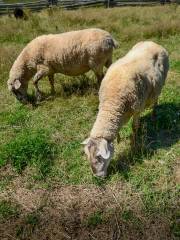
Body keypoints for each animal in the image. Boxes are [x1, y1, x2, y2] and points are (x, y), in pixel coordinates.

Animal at [82, 40, 169, 176]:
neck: (112, 101)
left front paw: (134, 144)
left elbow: (134, 127)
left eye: (99, 157)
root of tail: (153, 42)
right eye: (87, 156)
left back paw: (154, 115)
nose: (97, 176)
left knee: (156, 100)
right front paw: (118, 140)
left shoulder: (137, 109)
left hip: (161, 84)